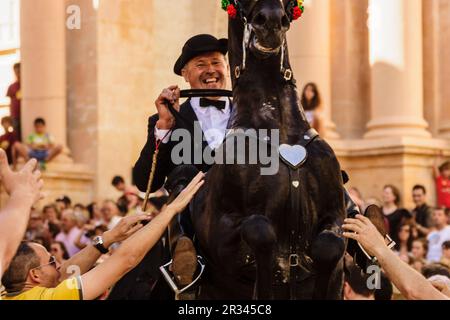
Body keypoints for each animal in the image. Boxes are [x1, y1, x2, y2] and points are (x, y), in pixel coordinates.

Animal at [183, 0, 348, 300]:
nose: (270, 20)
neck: (279, 128)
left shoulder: (334, 215)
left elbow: (329, 247)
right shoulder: (223, 232)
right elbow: (261, 232)